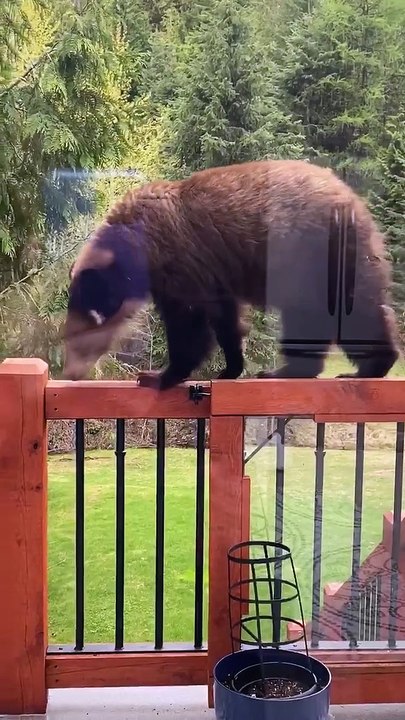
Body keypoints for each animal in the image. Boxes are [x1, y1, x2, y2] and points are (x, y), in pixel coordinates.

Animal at [62, 159, 399, 389]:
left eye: (78, 339)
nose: (70, 373)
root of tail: (351, 198)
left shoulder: (180, 262)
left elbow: (189, 321)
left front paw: (161, 375)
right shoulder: (211, 274)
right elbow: (225, 318)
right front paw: (231, 367)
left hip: (311, 255)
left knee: (333, 313)